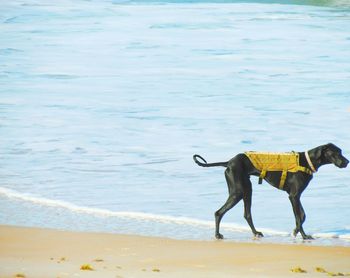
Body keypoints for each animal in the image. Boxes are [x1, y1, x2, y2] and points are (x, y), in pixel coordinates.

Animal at [193, 143, 348, 239]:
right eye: (336, 153)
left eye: (341, 151)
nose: (347, 162)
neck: (307, 161)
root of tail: (229, 162)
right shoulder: (293, 196)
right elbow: (299, 217)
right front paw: (303, 236)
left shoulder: (296, 196)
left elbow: (302, 216)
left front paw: (295, 231)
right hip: (238, 192)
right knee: (219, 212)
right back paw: (217, 235)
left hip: (247, 190)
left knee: (247, 214)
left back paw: (256, 232)